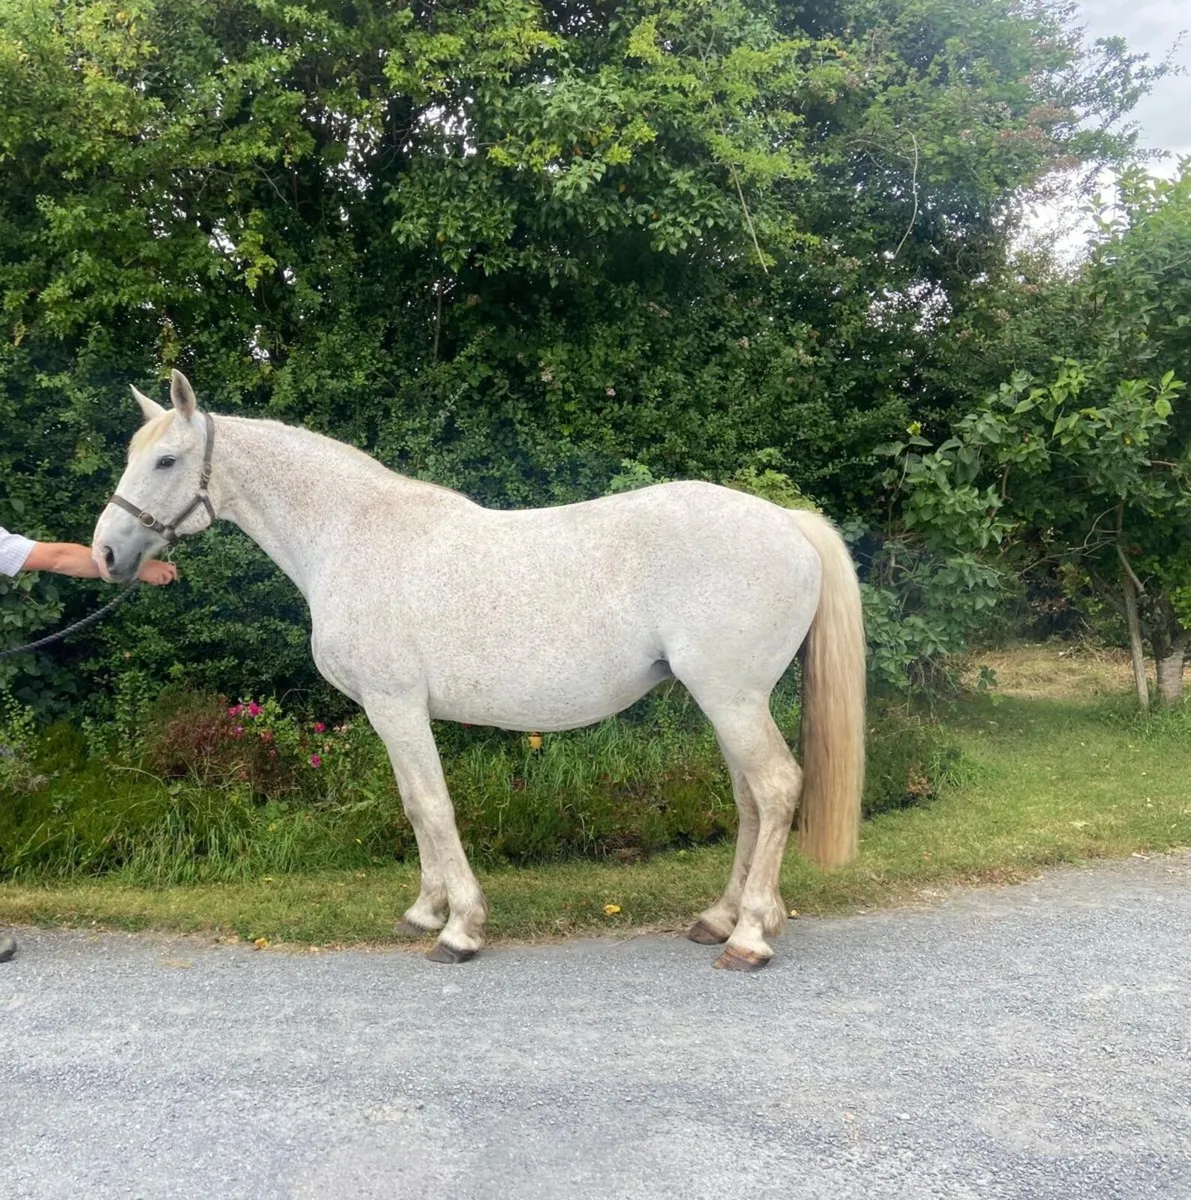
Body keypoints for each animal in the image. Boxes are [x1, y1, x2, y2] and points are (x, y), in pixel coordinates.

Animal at [92, 371, 865, 971]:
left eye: (165, 461)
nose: (104, 554)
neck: (350, 533)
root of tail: (786, 521)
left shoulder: (395, 704)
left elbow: (433, 805)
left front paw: (460, 929)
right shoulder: (388, 711)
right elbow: (414, 805)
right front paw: (425, 910)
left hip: (731, 698)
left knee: (775, 788)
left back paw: (749, 937)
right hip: (728, 701)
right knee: (749, 801)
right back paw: (719, 918)